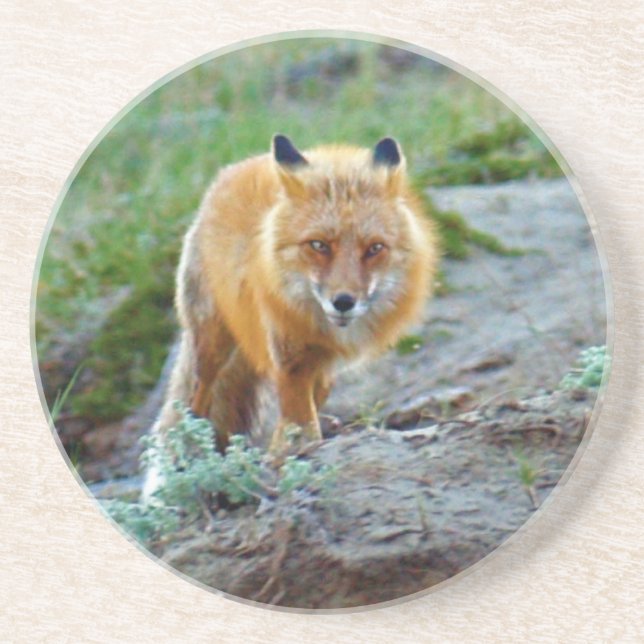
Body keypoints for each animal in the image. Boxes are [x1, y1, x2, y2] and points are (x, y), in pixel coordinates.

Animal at [143, 134, 438, 495]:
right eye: (319, 245)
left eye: (374, 249)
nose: (343, 302)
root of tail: (235, 169)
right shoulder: (289, 357)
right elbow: (297, 419)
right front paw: (291, 459)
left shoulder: (314, 362)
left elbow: (299, 419)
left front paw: (287, 455)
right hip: (213, 343)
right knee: (197, 401)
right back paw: (196, 461)